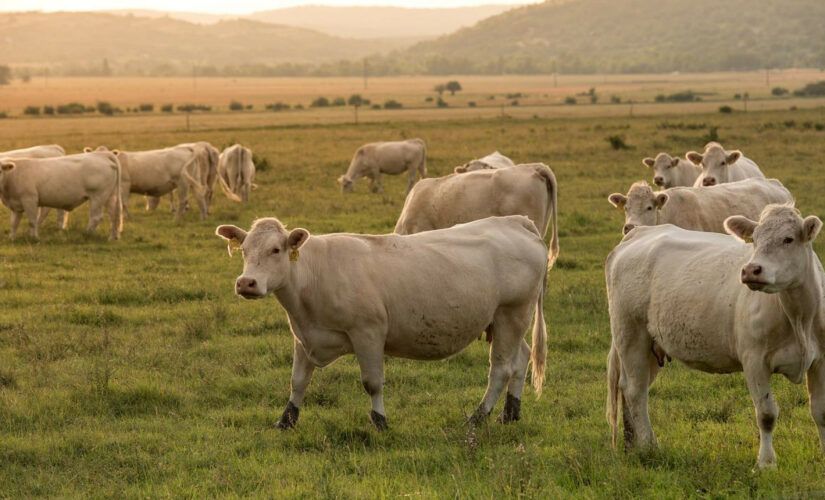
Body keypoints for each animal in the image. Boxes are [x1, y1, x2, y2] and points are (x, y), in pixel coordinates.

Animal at [216, 215, 548, 430]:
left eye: (275, 250)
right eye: (244, 250)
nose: (246, 283)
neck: (315, 274)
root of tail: (516, 221)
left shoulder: (368, 333)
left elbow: (372, 383)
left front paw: (380, 422)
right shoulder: (304, 336)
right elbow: (297, 382)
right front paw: (286, 420)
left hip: (511, 313)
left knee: (501, 369)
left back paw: (477, 418)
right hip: (507, 321)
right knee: (521, 359)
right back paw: (510, 414)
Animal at [600, 203, 824, 468]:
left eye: (788, 239)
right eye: (755, 239)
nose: (751, 270)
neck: (799, 317)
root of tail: (638, 232)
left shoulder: (821, 361)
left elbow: (820, 411)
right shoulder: (754, 360)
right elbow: (767, 414)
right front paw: (766, 464)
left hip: (650, 346)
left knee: (633, 388)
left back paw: (632, 445)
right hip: (630, 333)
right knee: (635, 390)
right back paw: (648, 447)